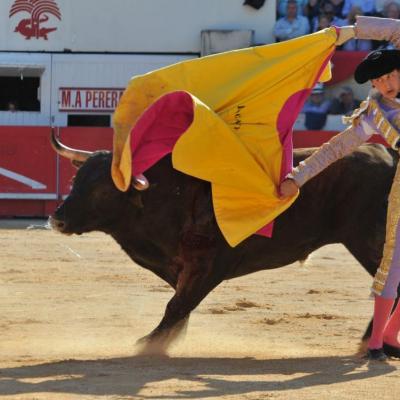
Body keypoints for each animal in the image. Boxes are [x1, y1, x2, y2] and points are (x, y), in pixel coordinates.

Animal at [48, 133, 398, 354]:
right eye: (75, 181)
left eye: (103, 189)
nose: (58, 220)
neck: (165, 196)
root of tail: (387, 154)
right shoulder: (179, 267)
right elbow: (180, 304)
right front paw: (169, 339)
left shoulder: (209, 264)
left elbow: (177, 304)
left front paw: (150, 344)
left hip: (369, 240)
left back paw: (371, 344)